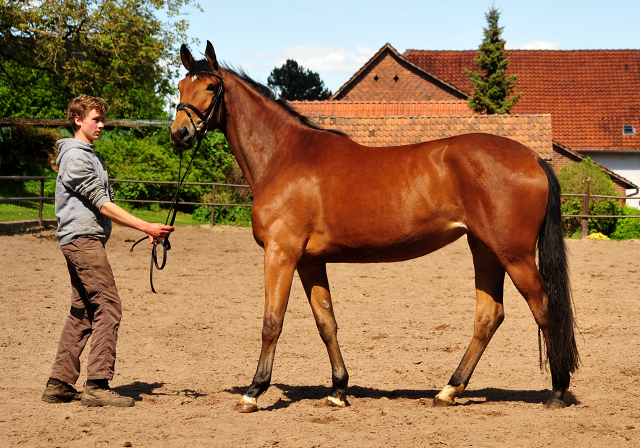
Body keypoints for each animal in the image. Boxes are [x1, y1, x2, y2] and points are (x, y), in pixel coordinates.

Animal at [170, 43, 580, 412]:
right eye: (179, 86)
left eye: (211, 87)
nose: (180, 134)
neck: (285, 156)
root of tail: (533, 158)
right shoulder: (309, 262)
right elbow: (326, 322)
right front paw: (338, 389)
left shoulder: (280, 254)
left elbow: (272, 322)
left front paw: (254, 392)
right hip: (486, 249)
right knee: (489, 315)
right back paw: (448, 390)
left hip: (515, 255)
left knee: (544, 309)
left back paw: (557, 391)